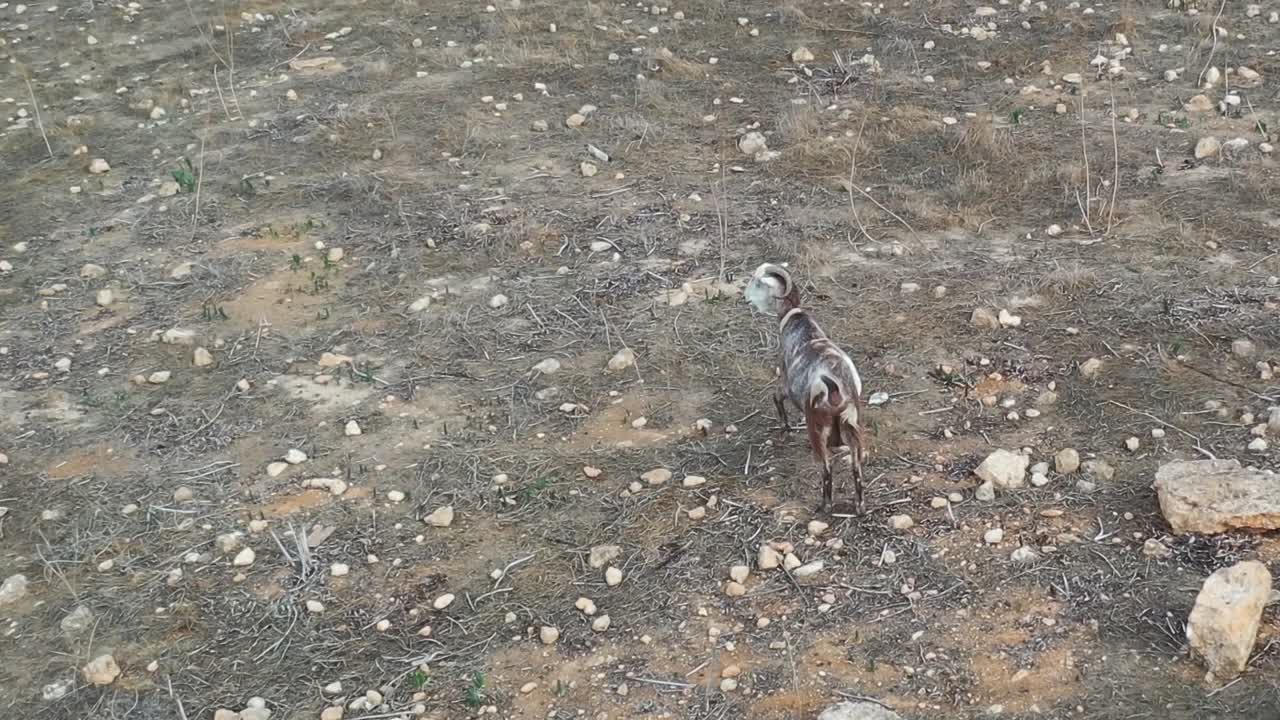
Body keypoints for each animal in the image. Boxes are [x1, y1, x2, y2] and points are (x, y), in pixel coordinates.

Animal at [744, 263, 867, 514]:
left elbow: (777, 397)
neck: (796, 321)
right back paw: (859, 508)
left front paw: (786, 427)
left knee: (827, 471)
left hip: (817, 430)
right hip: (852, 428)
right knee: (856, 470)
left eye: (758, 282)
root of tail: (836, 392)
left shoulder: (787, 384)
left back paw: (825, 506)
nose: (745, 297)